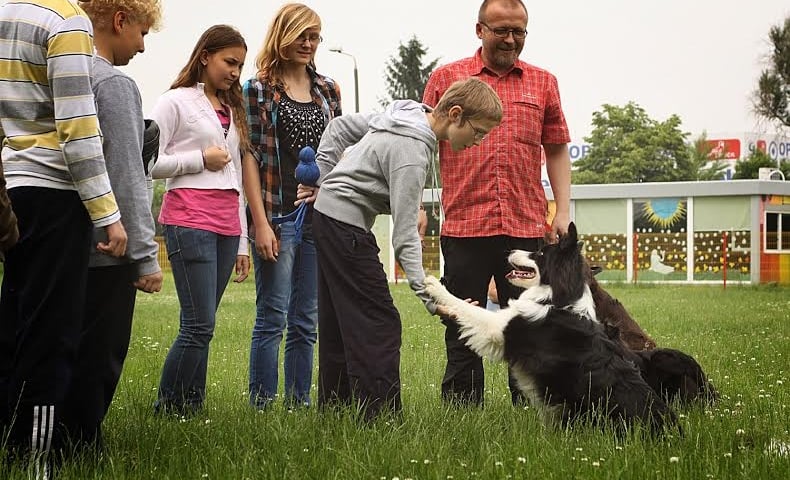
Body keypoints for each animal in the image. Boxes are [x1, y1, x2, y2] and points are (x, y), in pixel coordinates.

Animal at [426, 223, 680, 434]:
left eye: (539, 254)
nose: (508, 251)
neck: (557, 299)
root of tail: (673, 432)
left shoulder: (500, 328)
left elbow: (466, 308)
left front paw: (435, 287)